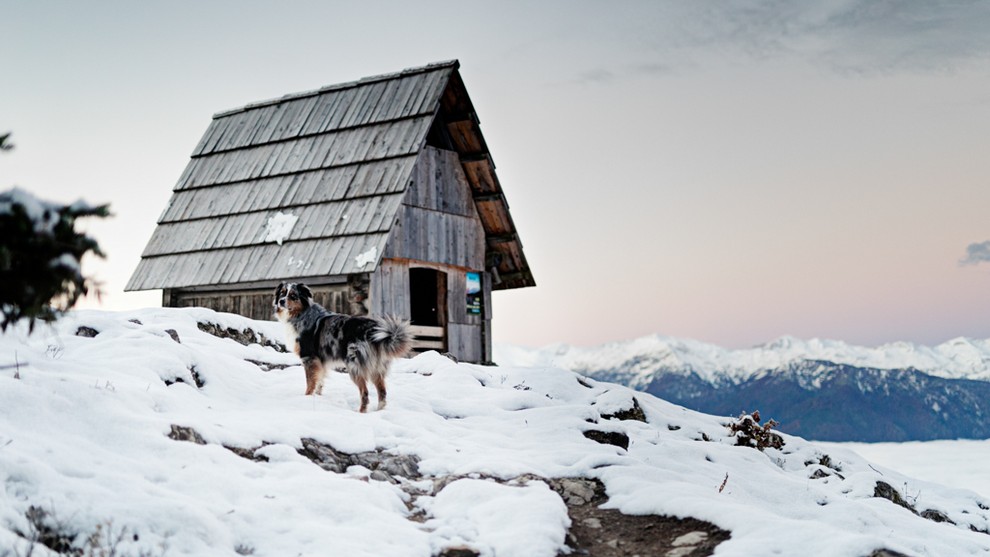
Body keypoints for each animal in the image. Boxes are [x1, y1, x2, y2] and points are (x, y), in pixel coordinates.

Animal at [274, 282, 412, 408]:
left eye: (293, 295)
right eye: (282, 293)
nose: (281, 301)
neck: (301, 313)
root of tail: (373, 329)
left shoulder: (309, 358)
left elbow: (310, 383)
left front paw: (307, 398)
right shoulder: (320, 362)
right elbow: (319, 382)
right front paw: (317, 398)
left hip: (354, 365)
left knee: (365, 393)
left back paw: (361, 412)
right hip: (376, 368)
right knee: (382, 393)